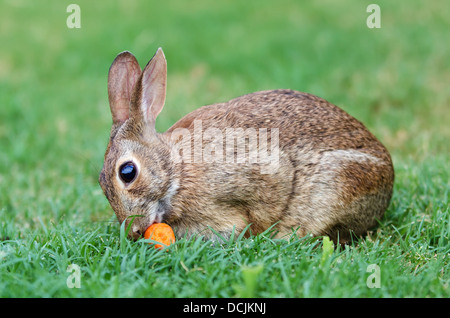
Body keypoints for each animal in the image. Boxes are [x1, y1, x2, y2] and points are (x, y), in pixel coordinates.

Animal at [99, 47, 394, 243]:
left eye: (127, 172)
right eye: (102, 183)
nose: (134, 231)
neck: (176, 171)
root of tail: (388, 181)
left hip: (340, 181)